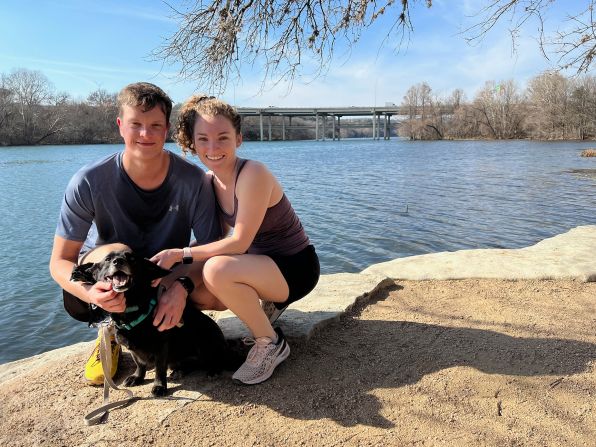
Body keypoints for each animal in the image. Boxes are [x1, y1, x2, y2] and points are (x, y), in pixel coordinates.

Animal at [70, 250, 235, 398]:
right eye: (108, 259)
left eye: (132, 259)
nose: (118, 261)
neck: (132, 311)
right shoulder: (133, 349)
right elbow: (139, 363)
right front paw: (137, 377)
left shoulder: (161, 347)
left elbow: (159, 369)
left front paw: (159, 386)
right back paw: (180, 370)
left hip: (206, 340)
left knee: (218, 359)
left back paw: (213, 370)